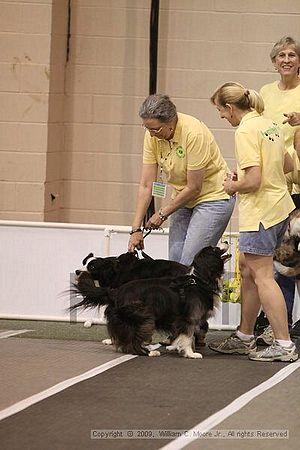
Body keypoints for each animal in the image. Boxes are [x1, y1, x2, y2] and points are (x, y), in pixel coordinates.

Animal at [71, 244, 231, 360]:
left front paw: (181, 348)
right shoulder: (189, 317)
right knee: (131, 342)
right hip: (144, 316)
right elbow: (187, 335)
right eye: (215, 249)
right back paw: (149, 352)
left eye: (92, 266)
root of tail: (116, 292)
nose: (226, 241)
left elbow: (189, 333)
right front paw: (190, 353)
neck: (198, 280)